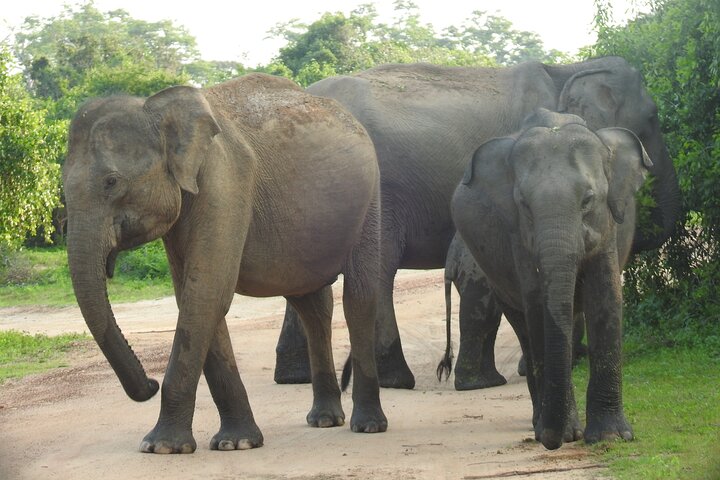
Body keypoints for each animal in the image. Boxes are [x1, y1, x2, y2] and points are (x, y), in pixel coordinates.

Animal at [62, 73, 388, 454]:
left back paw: (367, 426)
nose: (150, 384)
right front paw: (237, 443)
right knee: (312, 304)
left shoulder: (226, 181)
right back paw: (324, 420)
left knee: (359, 297)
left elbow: (206, 294)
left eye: (112, 182)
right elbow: (197, 297)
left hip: (370, 197)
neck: (157, 109)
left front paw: (161, 447)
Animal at [274, 56, 681, 390]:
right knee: (378, 271)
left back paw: (294, 377)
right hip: (377, 192)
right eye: (653, 117)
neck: (567, 68)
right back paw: (397, 380)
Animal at [451, 108, 650, 449]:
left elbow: (606, 299)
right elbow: (537, 308)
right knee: (524, 329)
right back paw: (537, 422)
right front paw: (566, 433)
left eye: (588, 200)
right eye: (524, 205)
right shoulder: (518, 237)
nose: (551, 441)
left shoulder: (608, 226)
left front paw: (610, 437)